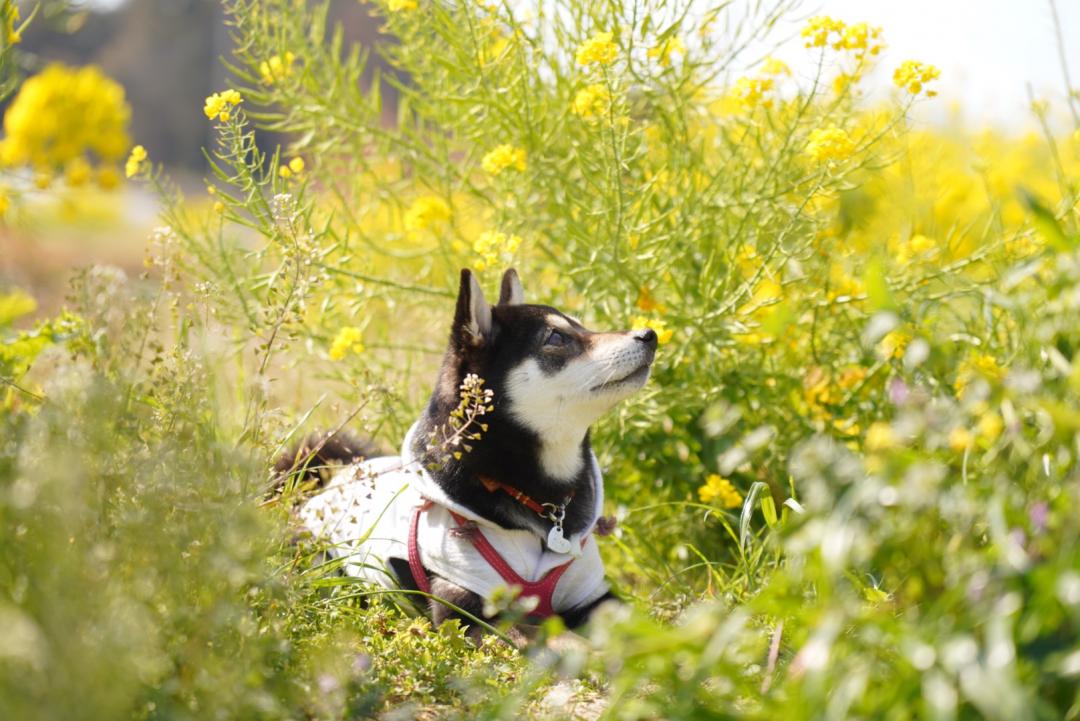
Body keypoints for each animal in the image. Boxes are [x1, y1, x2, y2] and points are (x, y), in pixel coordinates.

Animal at [287, 268, 656, 634]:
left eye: (583, 327)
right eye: (556, 337)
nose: (649, 333)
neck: (545, 509)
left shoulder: (592, 593)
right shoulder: (469, 609)